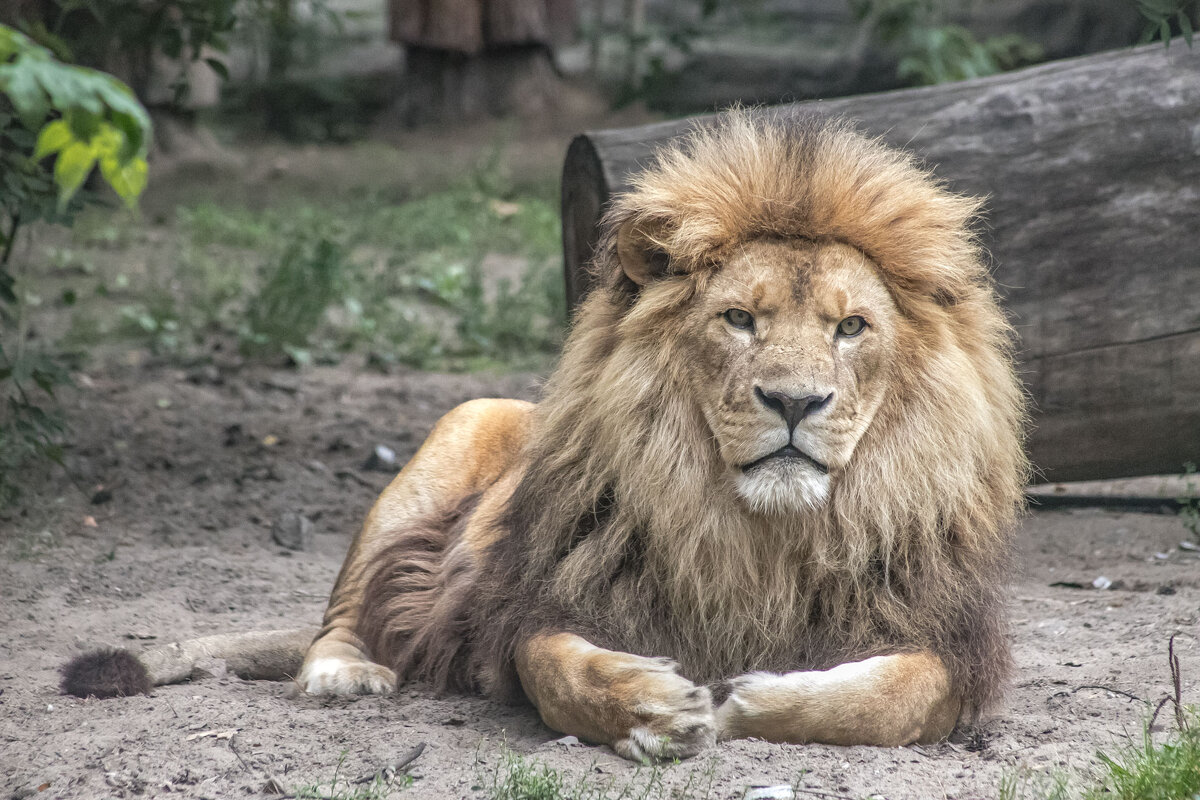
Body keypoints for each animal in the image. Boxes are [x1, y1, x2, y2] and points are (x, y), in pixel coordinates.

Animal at [63, 109, 1022, 762]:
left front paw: (749, 700)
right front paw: (655, 707)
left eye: (852, 327)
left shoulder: (946, 634)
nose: (794, 402)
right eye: (739, 319)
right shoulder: (542, 603)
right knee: (343, 614)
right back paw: (346, 673)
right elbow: (558, 670)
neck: (755, 537)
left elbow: (899, 697)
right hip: (456, 431)